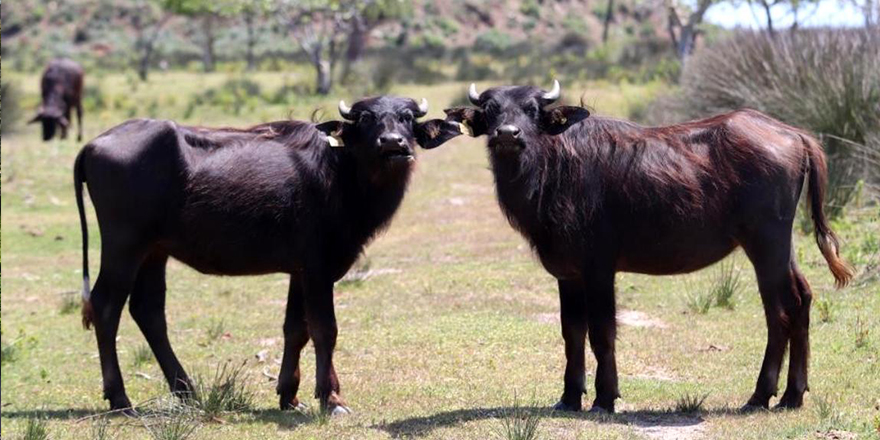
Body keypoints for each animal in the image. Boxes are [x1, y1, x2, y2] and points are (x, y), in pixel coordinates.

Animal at [74, 97, 468, 416]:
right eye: (367, 119)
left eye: (406, 118)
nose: (392, 143)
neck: (340, 173)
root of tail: (93, 144)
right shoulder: (318, 269)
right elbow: (325, 329)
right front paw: (331, 398)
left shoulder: (299, 271)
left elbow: (296, 330)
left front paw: (288, 395)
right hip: (124, 247)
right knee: (106, 306)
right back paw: (120, 399)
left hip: (154, 252)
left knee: (148, 311)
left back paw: (186, 391)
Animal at [436, 81, 856, 414]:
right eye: (491, 109)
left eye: (533, 110)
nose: (507, 134)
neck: (555, 169)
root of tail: (792, 133)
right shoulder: (567, 274)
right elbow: (571, 332)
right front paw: (569, 397)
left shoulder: (599, 268)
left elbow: (601, 331)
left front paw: (605, 398)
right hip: (783, 247)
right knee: (802, 299)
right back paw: (792, 394)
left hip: (765, 244)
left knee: (780, 311)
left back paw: (762, 396)